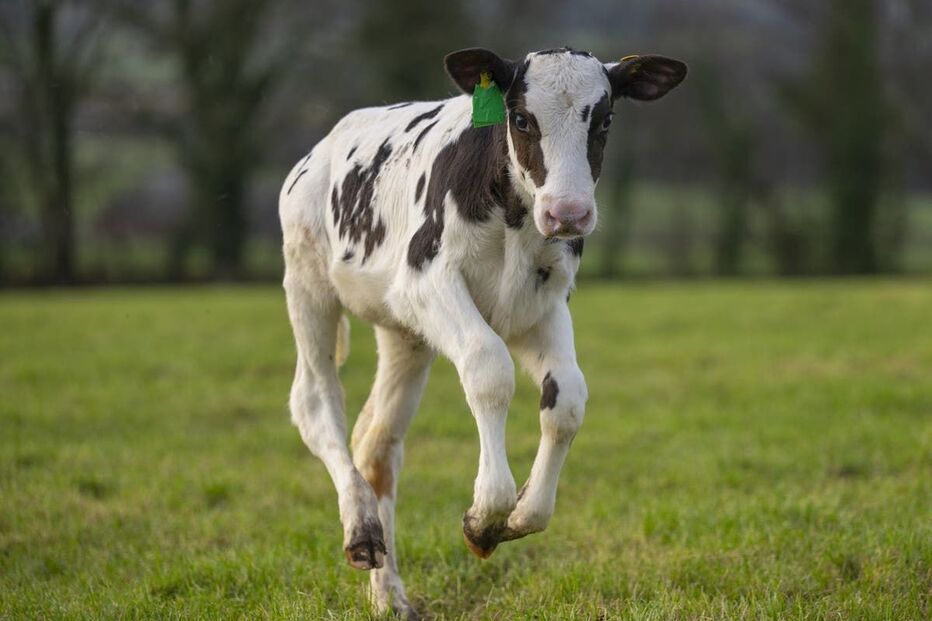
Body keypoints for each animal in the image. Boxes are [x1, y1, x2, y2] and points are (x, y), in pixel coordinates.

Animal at [278, 47, 686, 618]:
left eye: (605, 119)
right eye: (521, 118)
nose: (568, 213)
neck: (514, 220)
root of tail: (323, 146)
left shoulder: (542, 306)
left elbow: (568, 399)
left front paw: (517, 516)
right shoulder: (427, 279)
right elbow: (489, 370)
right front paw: (487, 513)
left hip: (404, 334)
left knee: (377, 441)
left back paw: (390, 595)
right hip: (308, 283)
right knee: (315, 400)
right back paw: (360, 529)